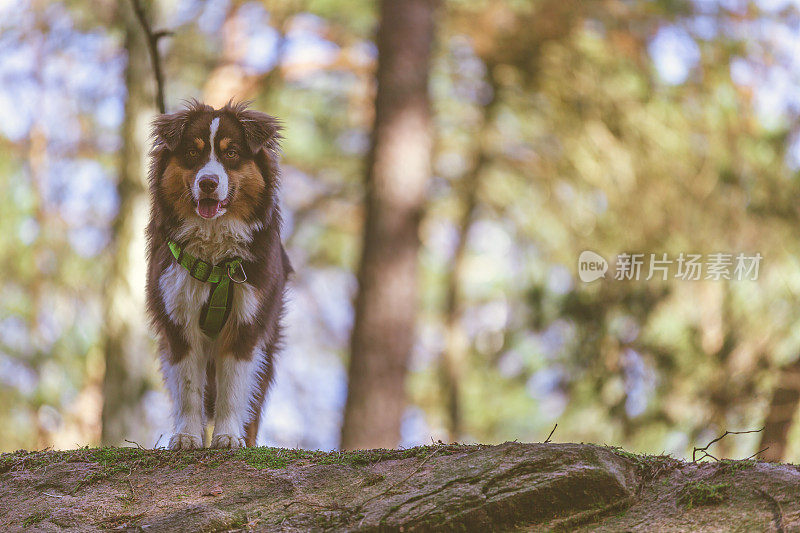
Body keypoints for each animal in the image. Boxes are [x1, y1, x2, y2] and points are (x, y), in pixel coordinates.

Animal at [145, 101, 292, 448]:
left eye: (232, 152)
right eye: (192, 152)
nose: (208, 183)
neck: (213, 255)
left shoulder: (247, 322)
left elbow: (234, 388)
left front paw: (227, 437)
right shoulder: (177, 318)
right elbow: (188, 389)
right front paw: (186, 437)